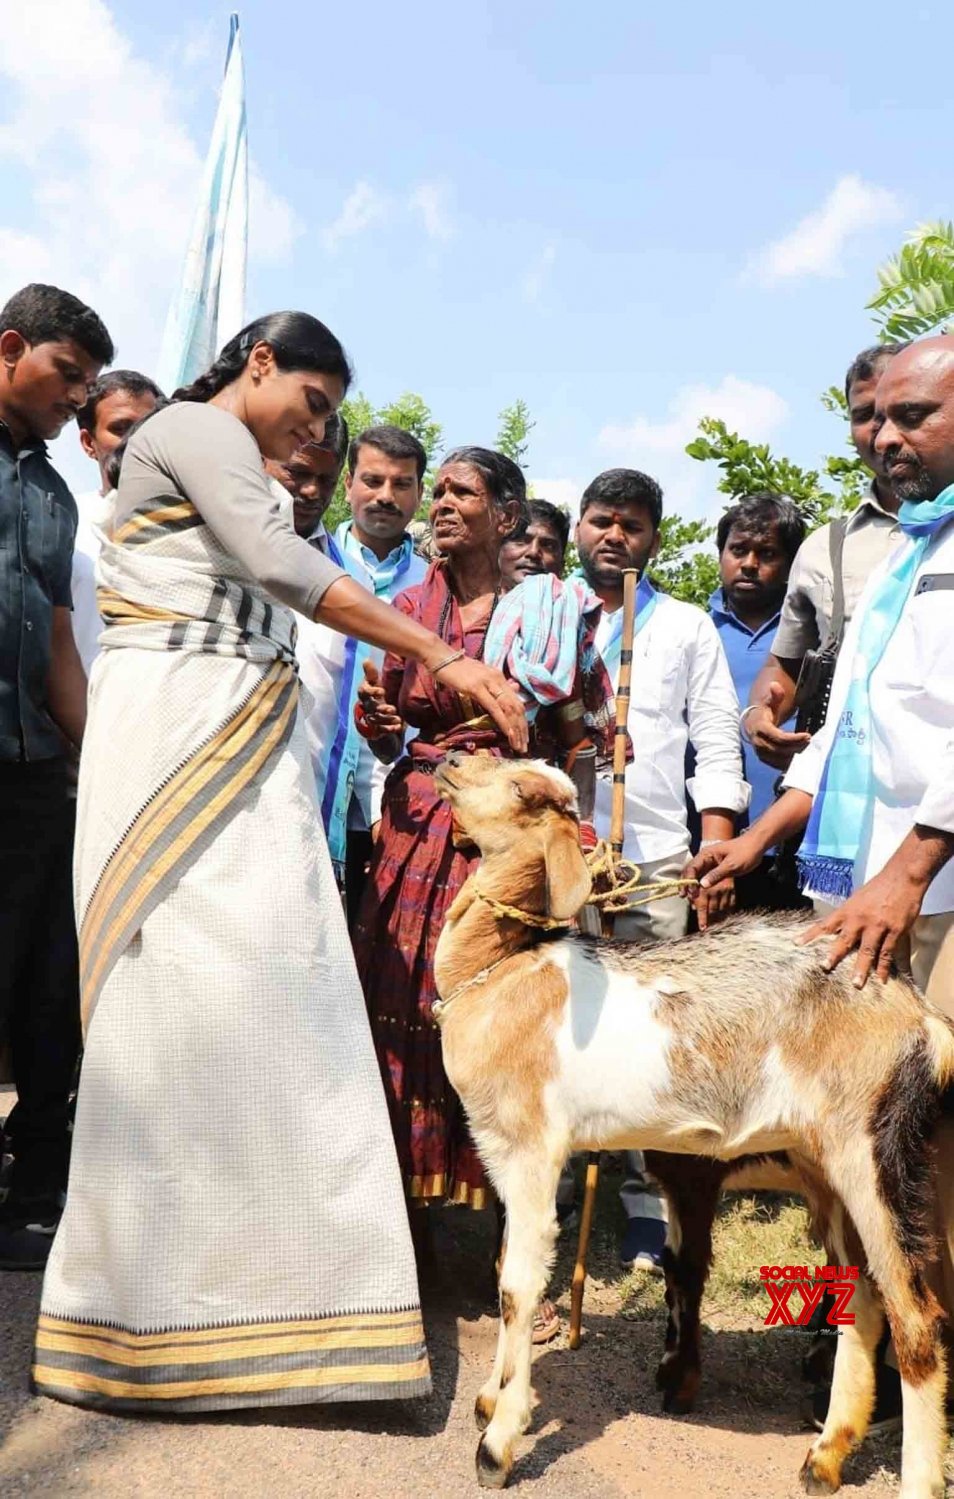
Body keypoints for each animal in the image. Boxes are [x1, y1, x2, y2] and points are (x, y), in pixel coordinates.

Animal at [435, 755, 954, 1493]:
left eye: (523, 789)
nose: (449, 760)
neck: (506, 968)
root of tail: (920, 1017)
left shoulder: (534, 1149)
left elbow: (518, 1284)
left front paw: (497, 1442)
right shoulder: (501, 1152)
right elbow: (511, 1266)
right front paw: (491, 1399)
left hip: (875, 1155)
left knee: (916, 1320)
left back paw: (908, 1474)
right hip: (825, 1166)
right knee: (863, 1300)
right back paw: (824, 1457)